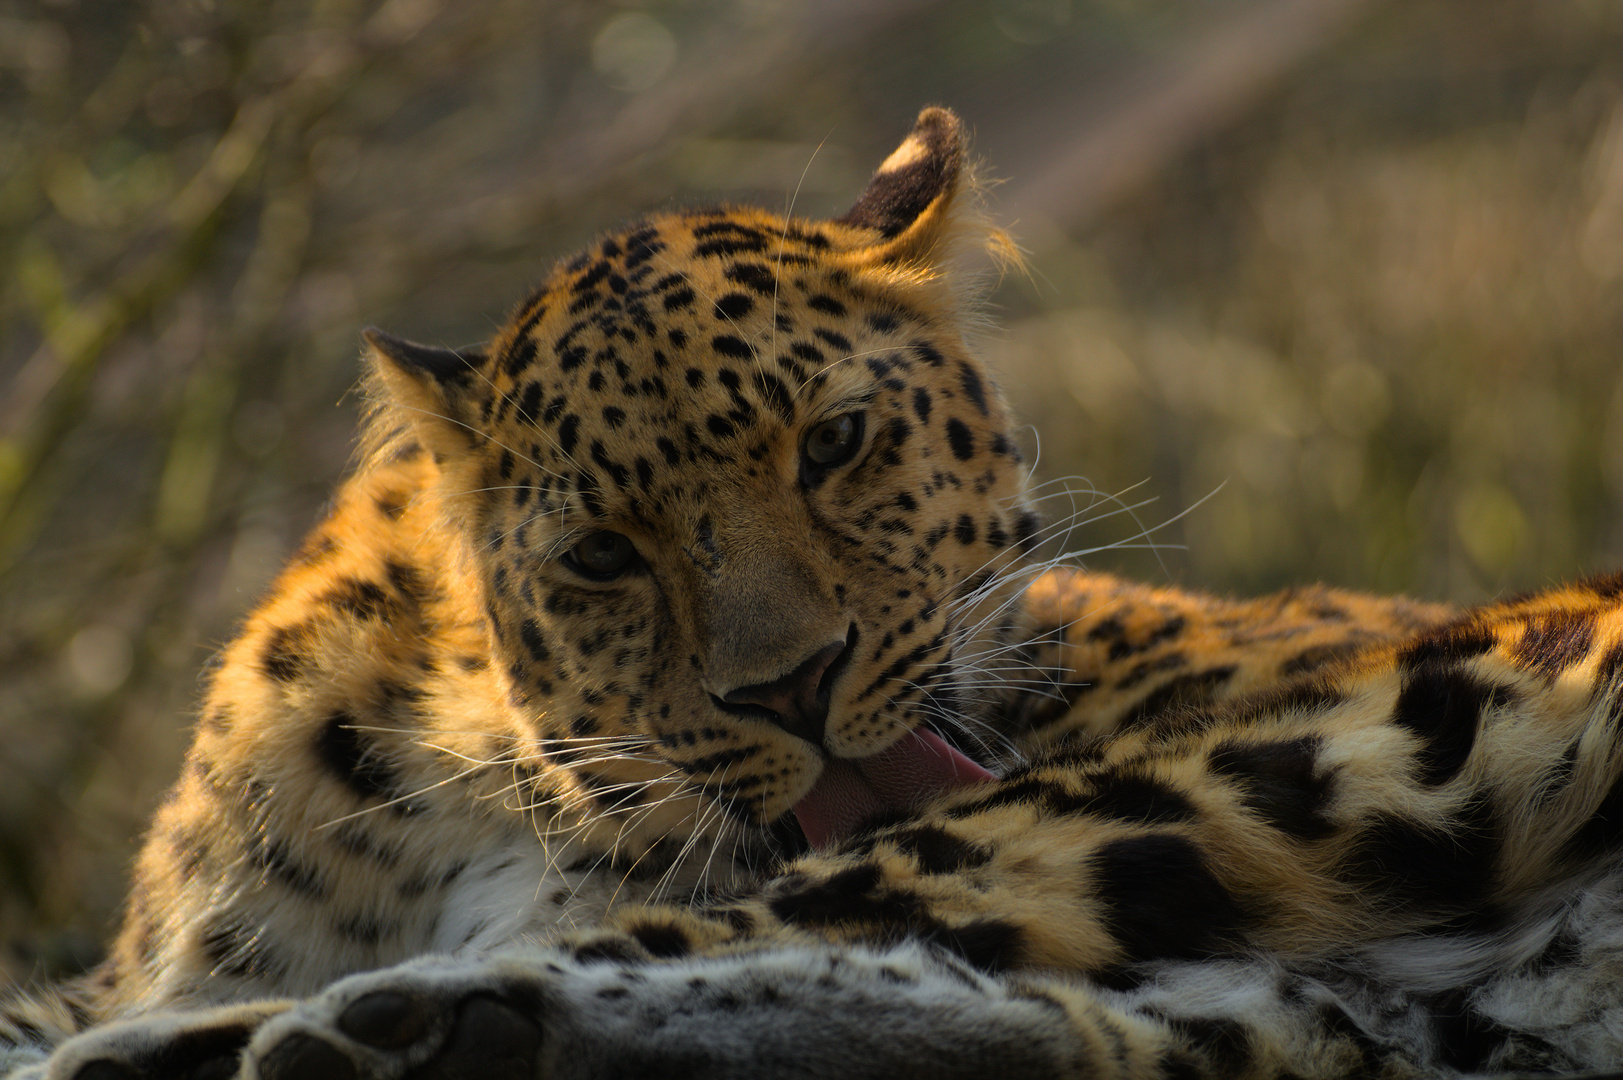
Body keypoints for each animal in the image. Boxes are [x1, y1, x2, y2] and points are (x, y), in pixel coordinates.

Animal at [9, 103, 1623, 1078]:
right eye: (603, 553)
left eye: (833, 444)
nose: (791, 685)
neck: (472, 778)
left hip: (1390, 734)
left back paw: (380, 1032)